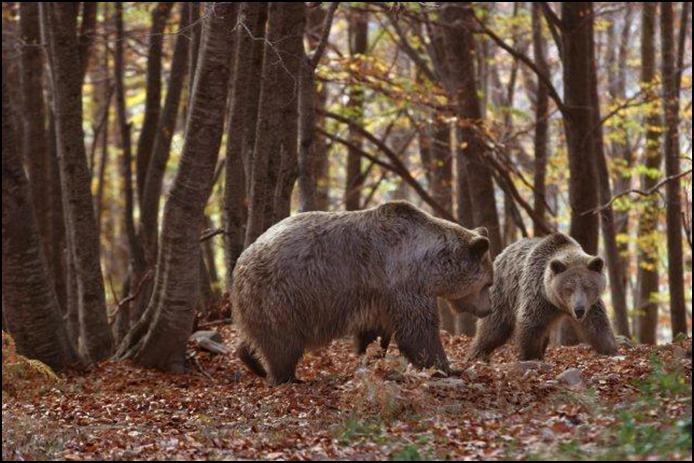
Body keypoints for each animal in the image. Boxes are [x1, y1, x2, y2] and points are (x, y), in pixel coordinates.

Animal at [231, 201, 492, 386]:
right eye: (488, 284)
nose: (488, 309)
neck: (430, 263)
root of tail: (242, 260)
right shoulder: (405, 283)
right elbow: (418, 330)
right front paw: (446, 367)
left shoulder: (379, 296)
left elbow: (374, 331)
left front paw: (370, 355)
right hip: (282, 295)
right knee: (282, 343)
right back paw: (287, 377)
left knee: (259, 336)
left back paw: (252, 361)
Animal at [470, 232, 616, 362]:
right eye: (568, 288)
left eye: (588, 286)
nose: (579, 310)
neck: (557, 304)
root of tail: (502, 253)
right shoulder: (538, 296)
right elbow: (531, 324)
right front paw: (531, 356)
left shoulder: (591, 305)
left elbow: (597, 326)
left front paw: (610, 350)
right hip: (503, 292)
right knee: (494, 327)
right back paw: (477, 354)